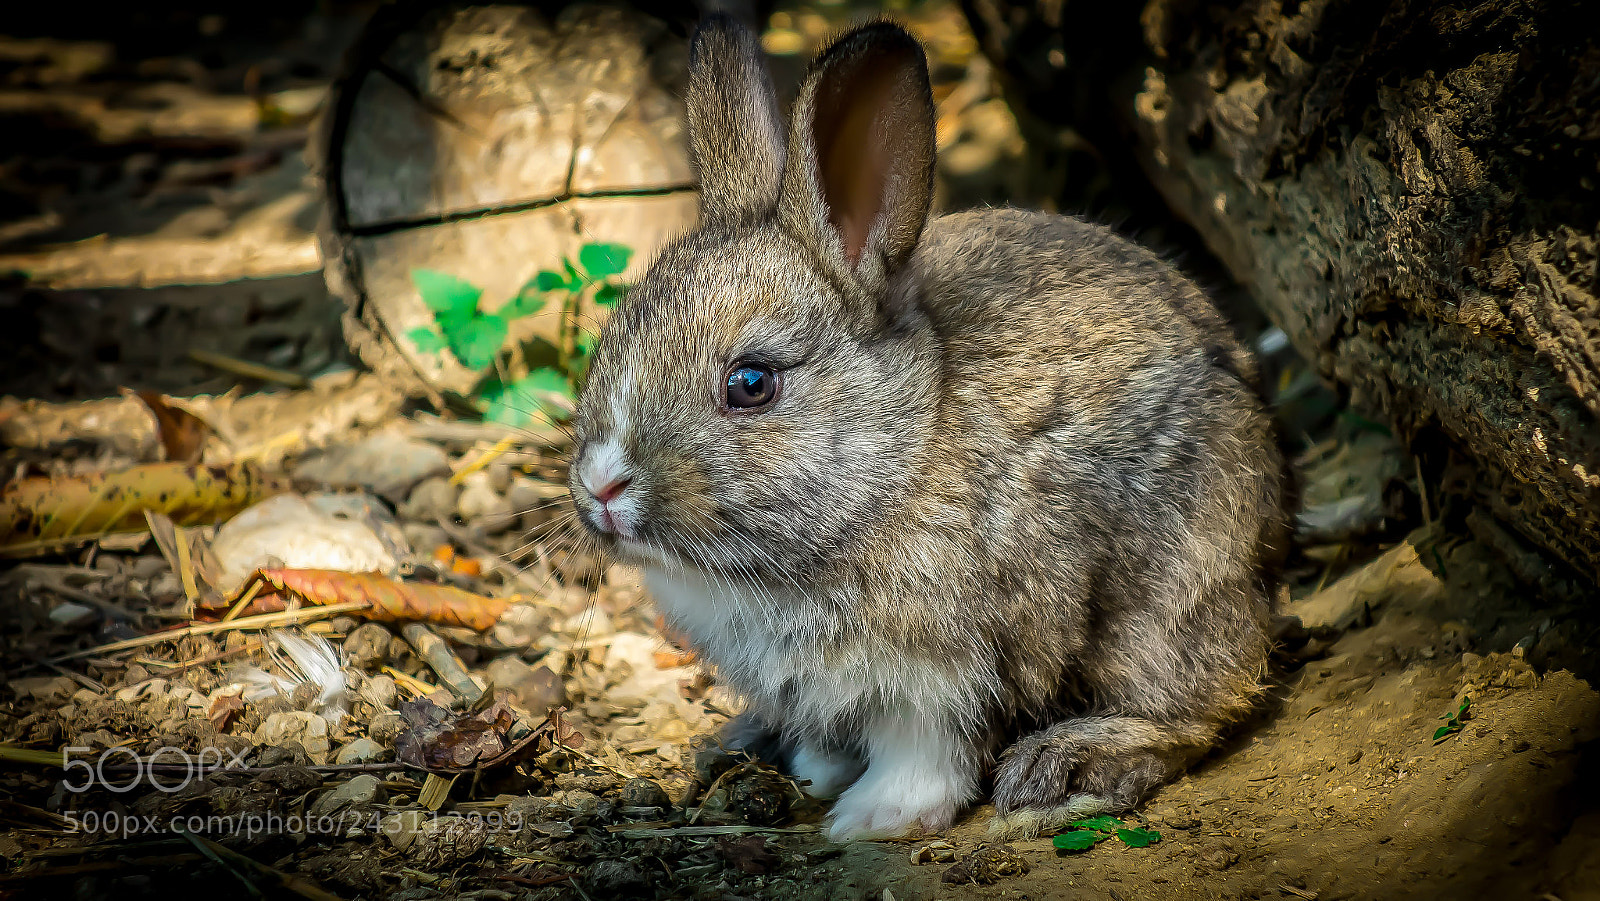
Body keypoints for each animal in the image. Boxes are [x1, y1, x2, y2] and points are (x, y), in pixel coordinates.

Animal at [566, 14, 1290, 842]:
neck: (896, 459)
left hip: (1174, 582)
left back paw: (1069, 764)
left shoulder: (947, 661)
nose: (602, 484)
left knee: (1203, 697)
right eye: (611, 336)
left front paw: (872, 815)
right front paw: (818, 769)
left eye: (750, 383)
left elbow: (927, 746)